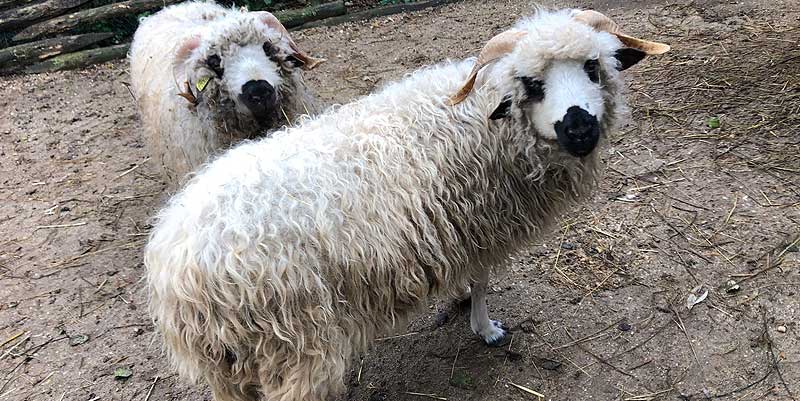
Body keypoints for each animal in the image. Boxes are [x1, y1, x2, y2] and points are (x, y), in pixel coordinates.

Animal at [144, 8, 668, 400]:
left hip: (230, 364)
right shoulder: (478, 226)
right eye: (531, 84)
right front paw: (484, 327)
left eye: (594, 67)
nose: (579, 128)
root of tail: (175, 266)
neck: (478, 119)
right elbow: (481, 281)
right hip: (296, 343)